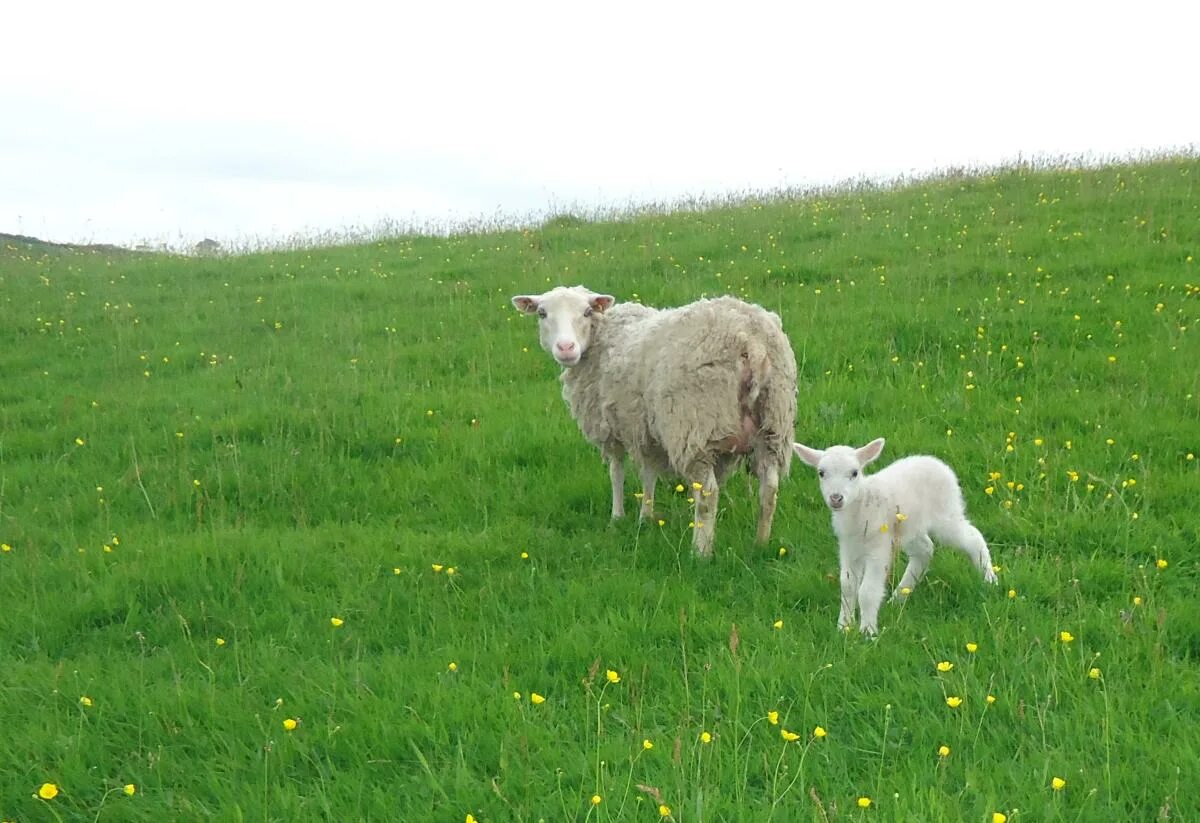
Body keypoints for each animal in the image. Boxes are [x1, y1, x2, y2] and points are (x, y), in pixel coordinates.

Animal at [508, 285, 796, 561]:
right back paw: (761, 543)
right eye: (542, 313)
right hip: (774, 426)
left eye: (587, 312)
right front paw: (645, 517)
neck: (604, 334)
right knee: (769, 489)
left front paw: (618, 516)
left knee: (708, 494)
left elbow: (617, 471)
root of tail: (752, 341)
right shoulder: (644, 427)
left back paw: (700, 552)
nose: (566, 348)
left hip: (695, 426)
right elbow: (649, 473)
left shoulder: (612, 427)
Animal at [792, 439, 998, 638]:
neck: (861, 504)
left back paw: (989, 578)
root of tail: (938, 463)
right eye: (821, 473)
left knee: (973, 538)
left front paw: (867, 632)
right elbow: (848, 586)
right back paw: (899, 596)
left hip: (946, 513)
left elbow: (867, 591)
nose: (836, 498)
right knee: (925, 550)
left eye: (854, 473)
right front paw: (843, 627)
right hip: (910, 526)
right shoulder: (848, 547)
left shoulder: (879, 547)